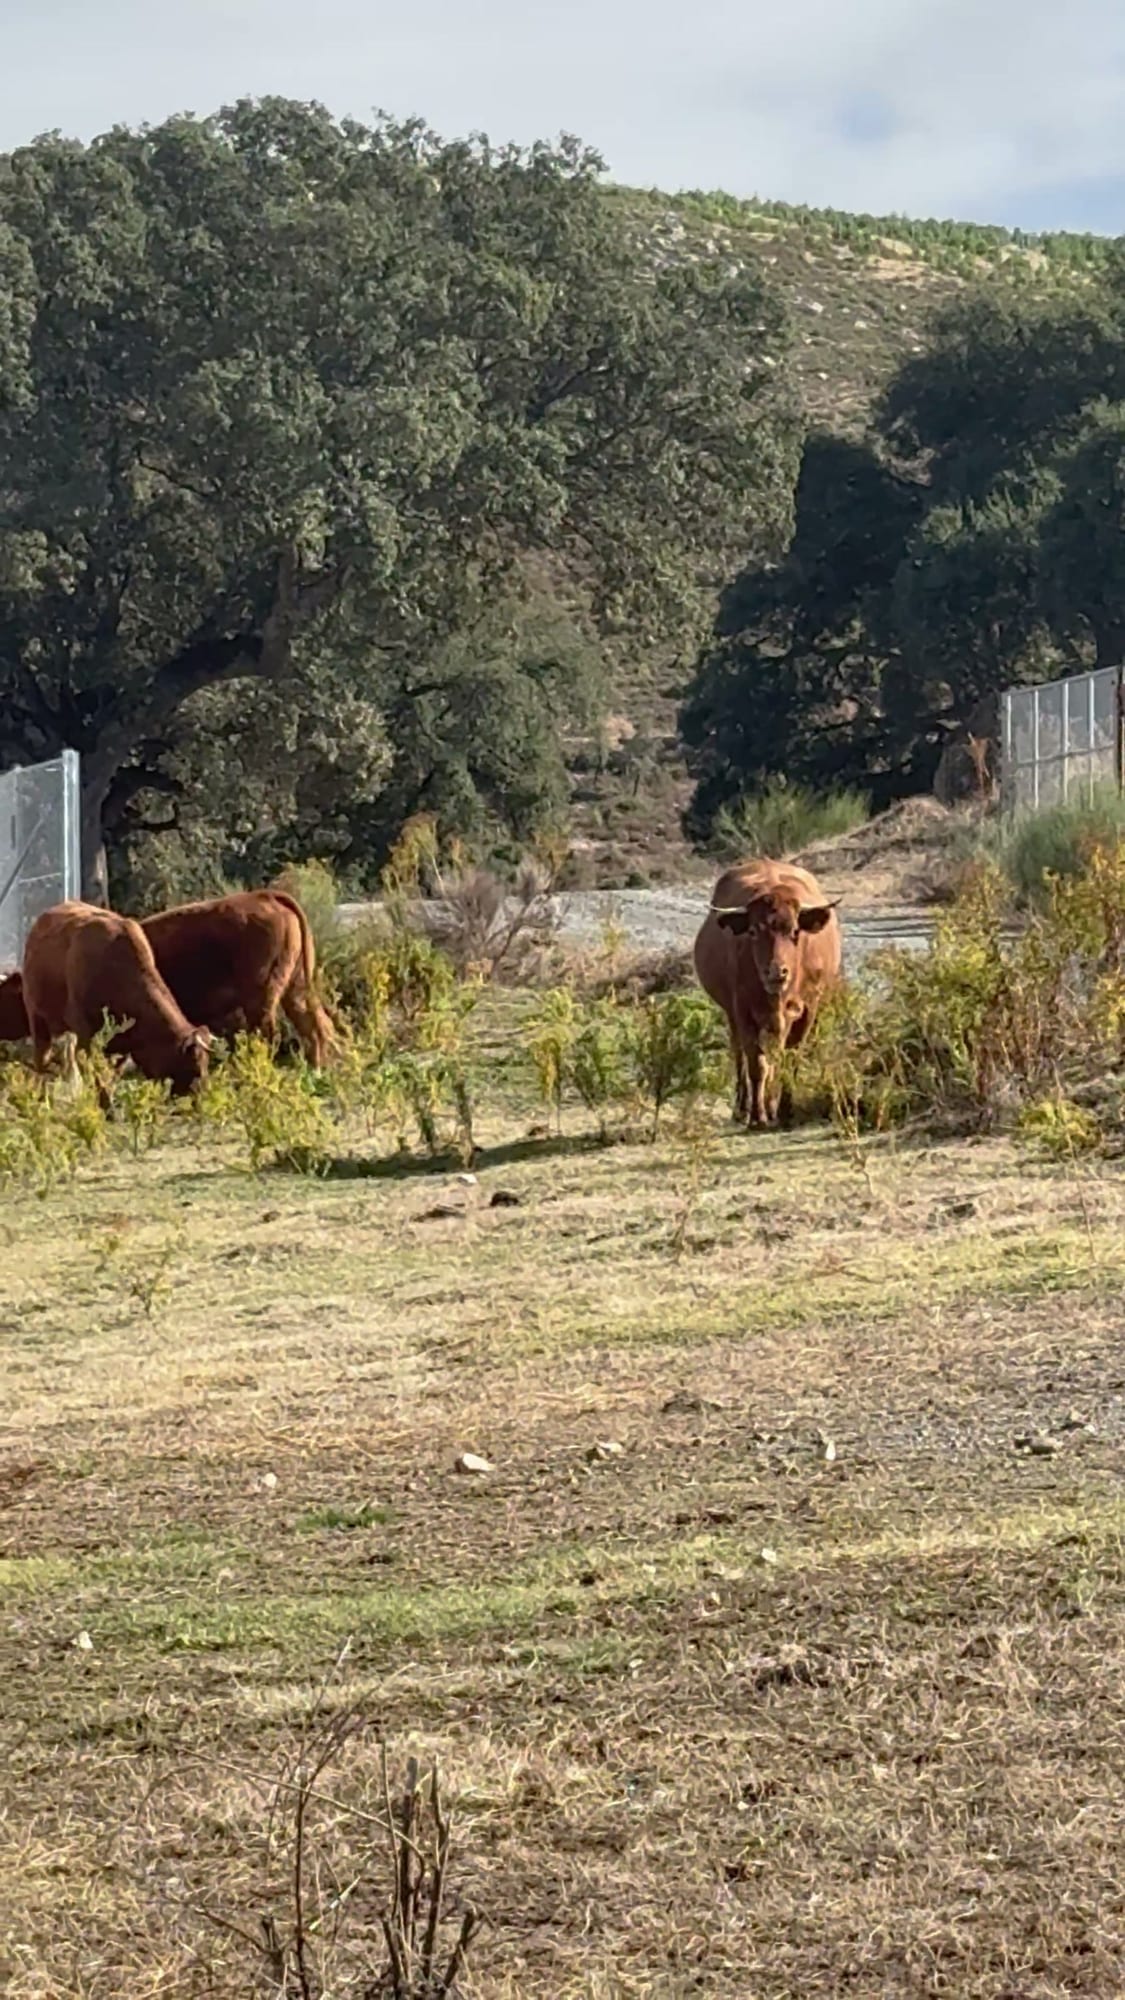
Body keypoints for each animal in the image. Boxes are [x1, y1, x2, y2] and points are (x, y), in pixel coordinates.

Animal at [694, 860, 842, 1127]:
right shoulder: (742, 1010)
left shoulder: (808, 1008)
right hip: (732, 1015)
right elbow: (756, 1063)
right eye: (753, 931)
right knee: (740, 1054)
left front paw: (785, 1110)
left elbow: (789, 1059)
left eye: (795, 931)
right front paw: (757, 1115)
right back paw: (743, 1108)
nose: (776, 971)